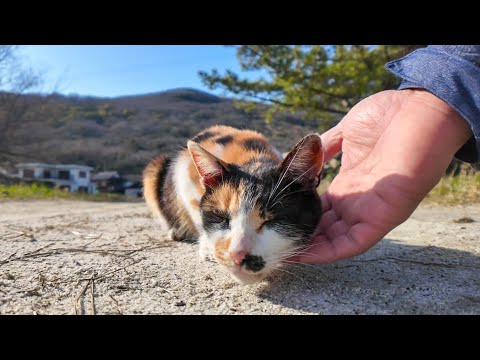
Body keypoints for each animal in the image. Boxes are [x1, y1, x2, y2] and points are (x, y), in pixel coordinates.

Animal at [141, 125, 324, 282]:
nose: (237, 254)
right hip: (155, 167)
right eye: (221, 218)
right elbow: (195, 212)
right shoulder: (184, 173)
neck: (254, 158)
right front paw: (208, 246)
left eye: (271, 220)